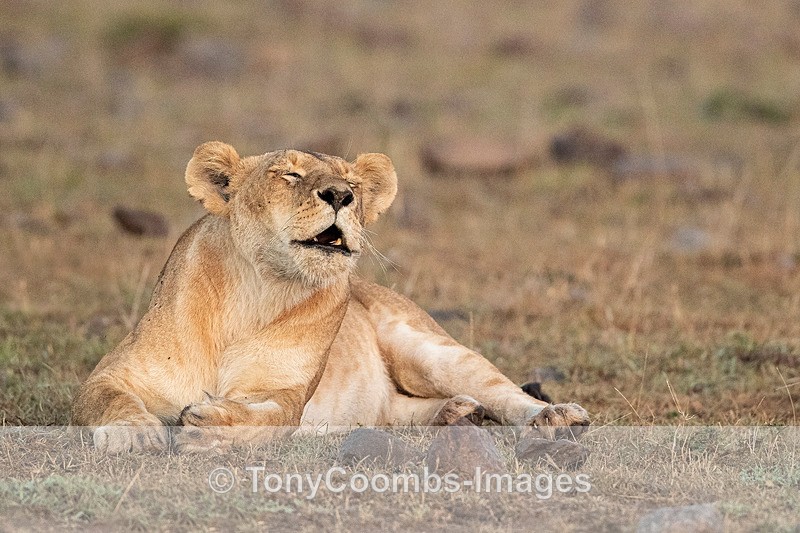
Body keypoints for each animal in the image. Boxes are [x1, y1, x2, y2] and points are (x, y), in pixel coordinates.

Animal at [72, 142, 589, 453]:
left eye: (353, 184)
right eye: (288, 173)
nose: (340, 195)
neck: (257, 292)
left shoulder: (286, 393)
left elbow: (269, 419)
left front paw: (208, 426)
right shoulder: (110, 374)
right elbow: (106, 399)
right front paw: (135, 434)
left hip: (429, 348)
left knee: (501, 390)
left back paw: (554, 416)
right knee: (391, 412)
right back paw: (456, 414)